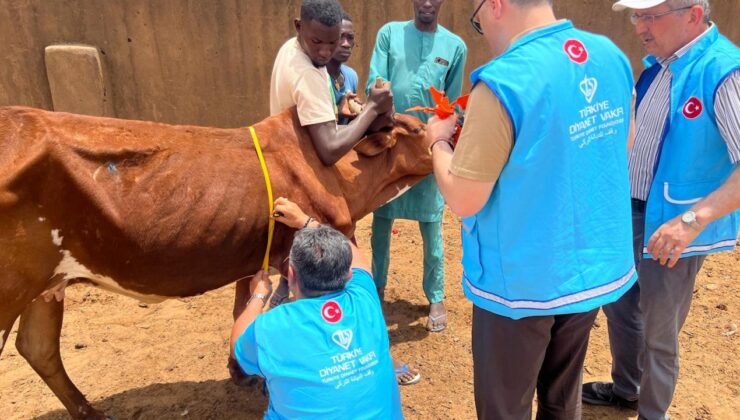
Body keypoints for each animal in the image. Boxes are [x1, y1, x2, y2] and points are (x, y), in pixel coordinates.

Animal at [0, 106, 430, 418]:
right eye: (416, 129)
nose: (447, 130)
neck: (339, 177)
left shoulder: (253, 255)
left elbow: (242, 308)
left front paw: (239, 371)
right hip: (12, 290)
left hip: (45, 284)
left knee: (38, 348)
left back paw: (91, 413)